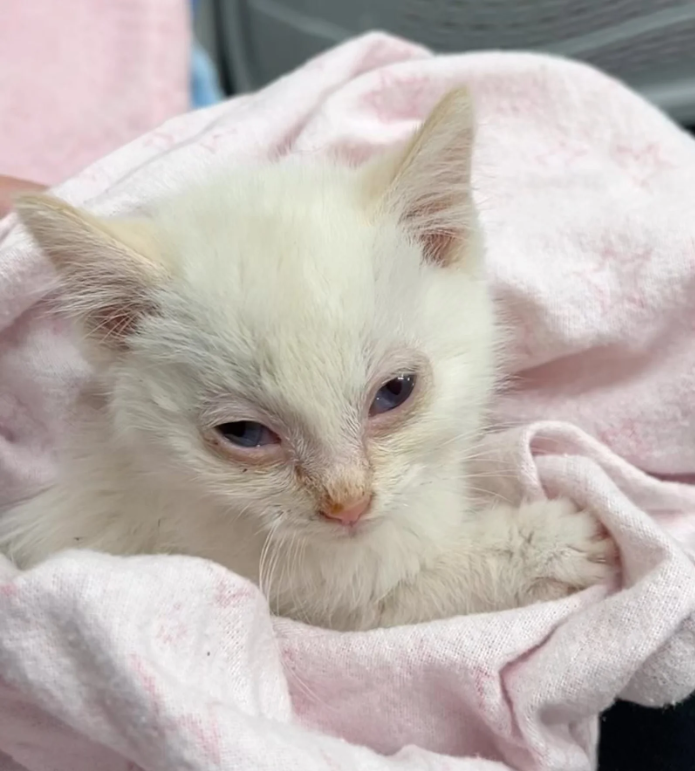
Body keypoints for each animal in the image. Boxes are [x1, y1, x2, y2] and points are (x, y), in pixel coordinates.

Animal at [0, 92, 616, 632]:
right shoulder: (298, 588)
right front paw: (551, 544)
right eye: (243, 433)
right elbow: (407, 589)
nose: (349, 503)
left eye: (395, 391)